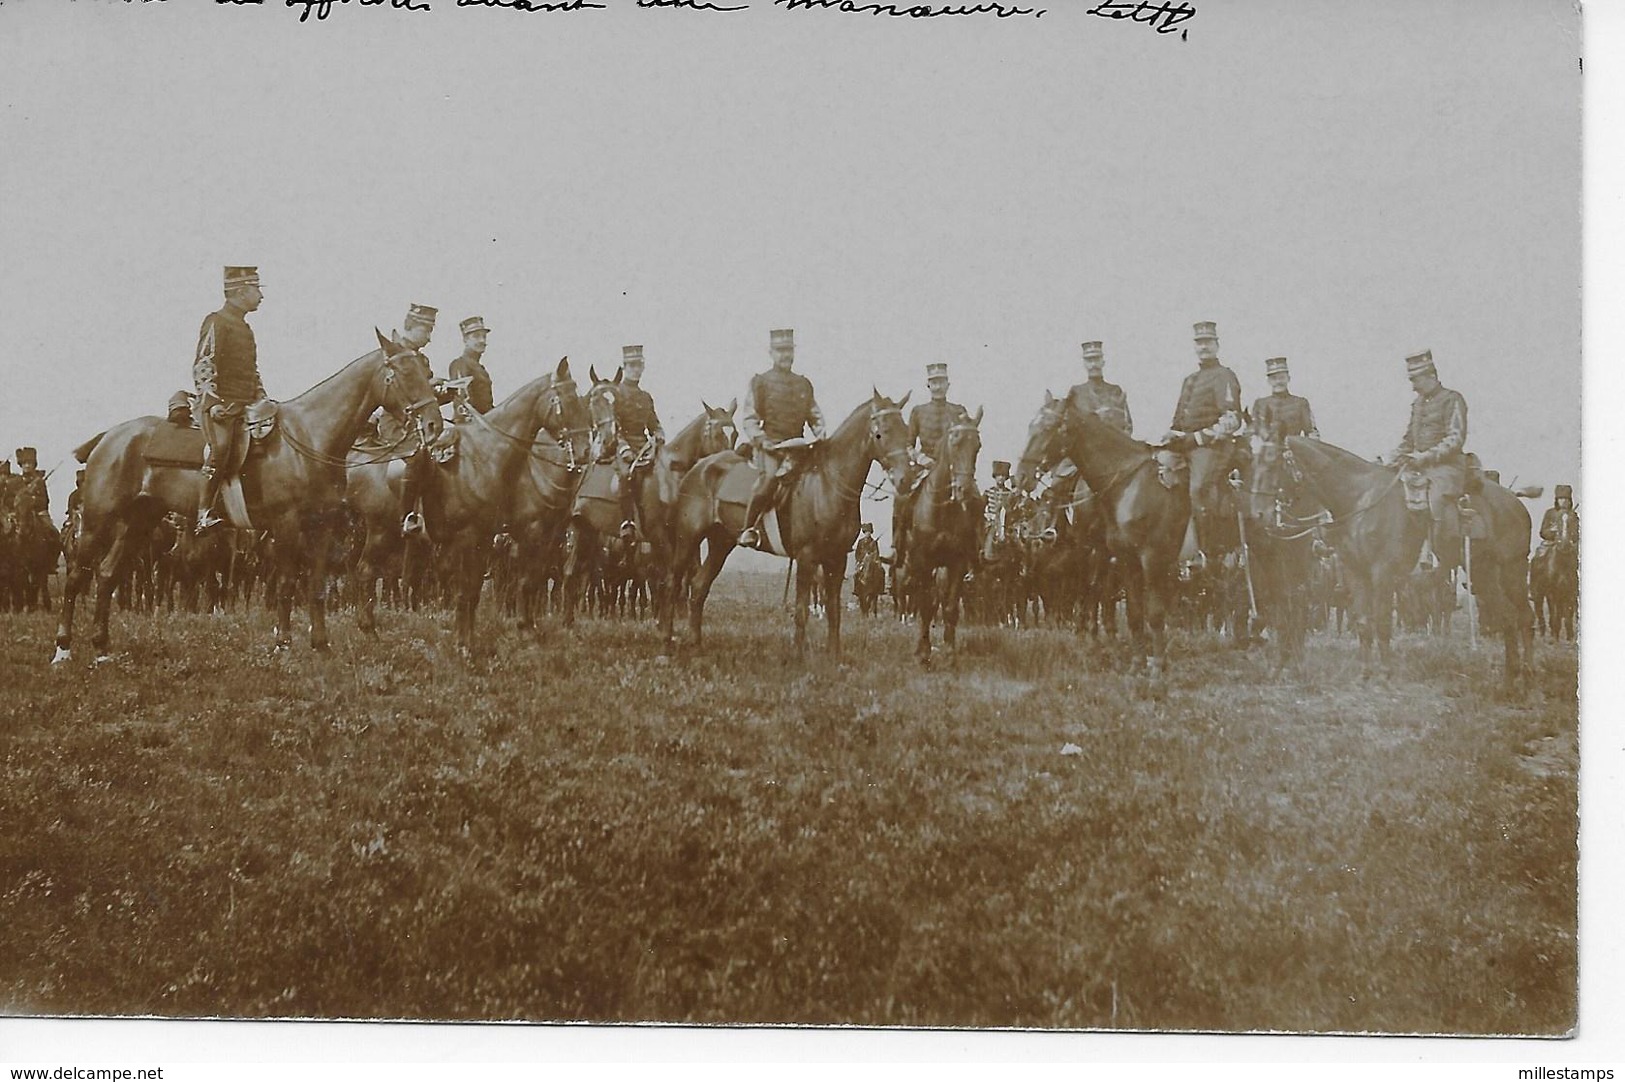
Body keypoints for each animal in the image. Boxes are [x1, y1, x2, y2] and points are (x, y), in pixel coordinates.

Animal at [55, 328, 445, 662]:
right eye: (403, 371)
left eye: (426, 370)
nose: (434, 425)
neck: (310, 437)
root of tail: (109, 437)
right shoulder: (286, 525)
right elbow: (288, 583)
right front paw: (283, 643)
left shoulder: (322, 527)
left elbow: (316, 585)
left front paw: (320, 644)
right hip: (98, 520)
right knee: (77, 576)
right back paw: (63, 648)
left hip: (138, 520)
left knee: (107, 574)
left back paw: (101, 646)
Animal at [659, 389, 916, 653]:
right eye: (882, 431)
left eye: (906, 430)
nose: (907, 477)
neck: (827, 484)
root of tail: (698, 467)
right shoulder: (806, 557)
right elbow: (802, 611)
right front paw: (797, 655)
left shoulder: (836, 559)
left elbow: (834, 612)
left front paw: (833, 656)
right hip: (687, 538)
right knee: (672, 583)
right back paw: (667, 639)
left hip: (721, 543)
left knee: (699, 586)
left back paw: (696, 643)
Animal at [897, 406, 981, 666]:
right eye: (955, 442)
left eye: (978, 446)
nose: (964, 489)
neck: (943, 509)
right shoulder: (923, 562)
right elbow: (925, 606)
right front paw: (923, 654)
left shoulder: (957, 563)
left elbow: (950, 608)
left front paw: (950, 653)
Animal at [1014, 389, 1183, 692]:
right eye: (1031, 426)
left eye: (1048, 428)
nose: (1020, 476)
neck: (1127, 486)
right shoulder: (1112, 553)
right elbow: (1122, 605)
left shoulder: (1149, 557)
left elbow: (1149, 610)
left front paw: (1154, 666)